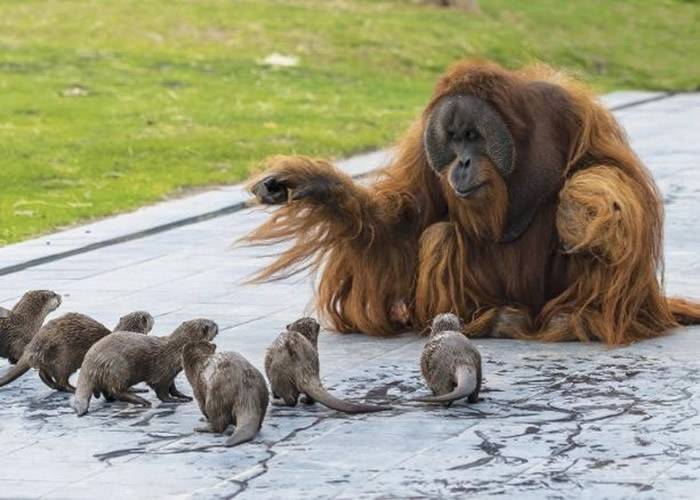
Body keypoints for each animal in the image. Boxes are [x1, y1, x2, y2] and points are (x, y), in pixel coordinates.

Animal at [0, 310, 154, 392]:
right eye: (149, 316)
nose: (151, 315)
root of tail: (35, 342)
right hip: (64, 358)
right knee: (61, 378)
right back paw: (72, 389)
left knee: (43, 373)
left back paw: (54, 386)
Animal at [72, 318, 216, 416]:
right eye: (212, 324)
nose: (217, 325)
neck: (175, 351)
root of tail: (90, 360)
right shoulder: (162, 372)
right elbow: (162, 392)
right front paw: (174, 400)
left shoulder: (170, 373)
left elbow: (173, 388)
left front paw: (184, 396)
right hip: (119, 368)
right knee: (116, 390)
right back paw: (141, 400)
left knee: (107, 391)